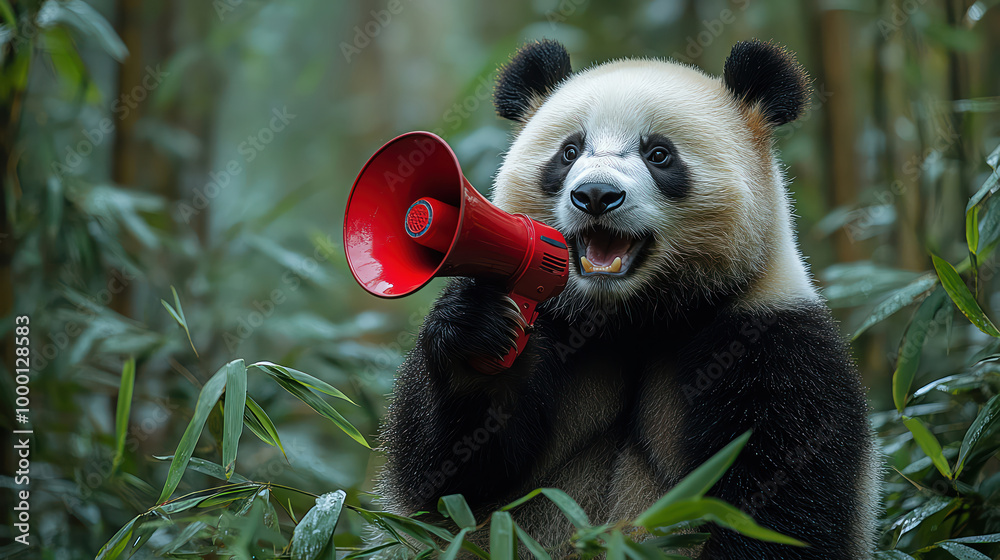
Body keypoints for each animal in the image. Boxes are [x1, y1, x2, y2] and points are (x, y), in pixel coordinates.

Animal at [375, 39, 879, 559]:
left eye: (659, 154)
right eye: (569, 151)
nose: (596, 194)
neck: (630, 315)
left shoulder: (770, 337)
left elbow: (777, 502)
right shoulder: (555, 320)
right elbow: (450, 481)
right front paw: (478, 336)